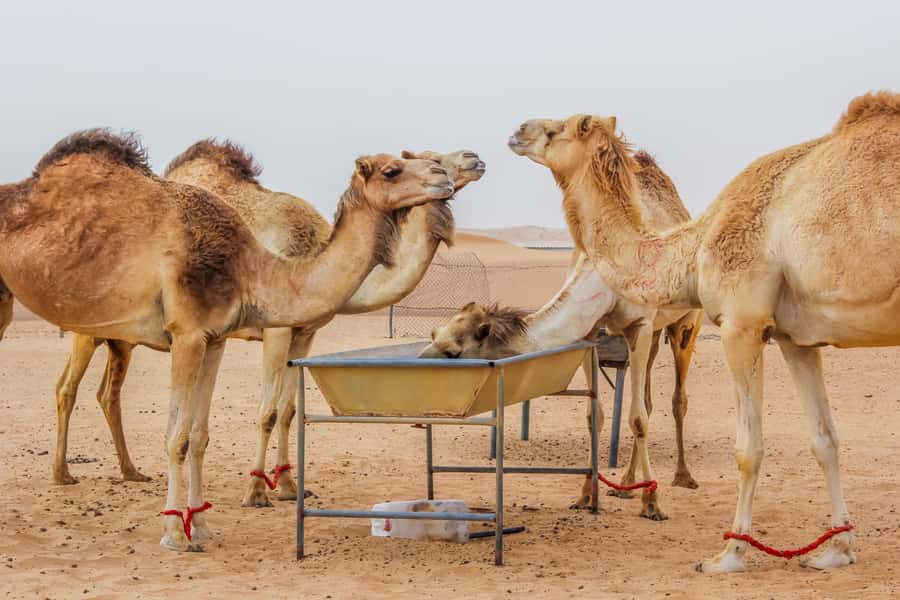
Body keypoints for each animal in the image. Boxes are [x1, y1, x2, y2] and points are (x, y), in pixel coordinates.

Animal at [0, 129, 453, 551]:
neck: (251, 269)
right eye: (392, 169)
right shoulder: (188, 334)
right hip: (72, 327)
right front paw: (175, 533)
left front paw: (200, 526)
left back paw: (122, 472)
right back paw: (65, 474)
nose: (443, 175)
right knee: (70, 388)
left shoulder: (214, 338)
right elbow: (178, 437)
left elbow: (200, 436)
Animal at [507, 91, 900, 571]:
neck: (691, 248)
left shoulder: (740, 323)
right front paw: (837, 549)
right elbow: (825, 440)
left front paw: (729, 553)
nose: (517, 130)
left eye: (560, 128)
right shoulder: (796, 338)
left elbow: (748, 448)